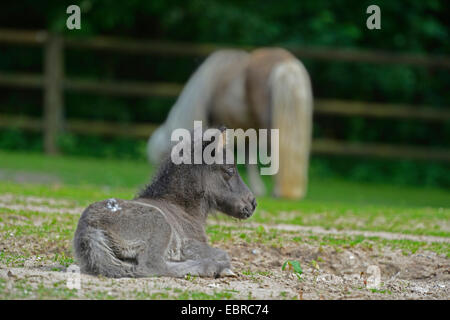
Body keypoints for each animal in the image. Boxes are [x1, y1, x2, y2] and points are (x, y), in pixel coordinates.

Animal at [74, 127, 256, 278]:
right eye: (230, 170)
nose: (253, 203)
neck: (183, 208)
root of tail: (89, 227)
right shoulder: (190, 245)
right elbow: (224, 254)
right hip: (160, 225)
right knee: (152, 266)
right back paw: (212, 268)